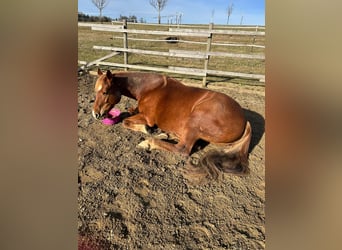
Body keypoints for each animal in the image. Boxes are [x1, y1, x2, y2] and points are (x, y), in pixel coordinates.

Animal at [91, 69, 251, 183]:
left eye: (105, 92)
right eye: (95, 91)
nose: (96, 114)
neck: (148, 88)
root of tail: (244, 120)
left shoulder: (147, 117)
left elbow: (126, 121)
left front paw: (147, 130)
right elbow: (130, 111)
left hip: (194, 122)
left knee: (182, 149)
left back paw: (149, 142)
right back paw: (165, 134)